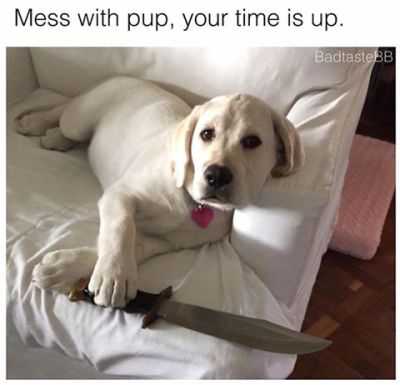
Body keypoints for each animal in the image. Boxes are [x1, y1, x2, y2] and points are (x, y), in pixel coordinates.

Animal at [18, 76, 304, 308]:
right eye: (206, 134)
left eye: (252, 141)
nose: (216, 176)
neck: (189, 201)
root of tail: (123, 77)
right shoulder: (119, 195)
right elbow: (120, 230)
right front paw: (114, 275)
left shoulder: (165, 242)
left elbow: (131, 246)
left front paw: (64, 267)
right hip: (80, 118)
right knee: (65, 108)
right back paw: (35, 122)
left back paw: (55, 138)